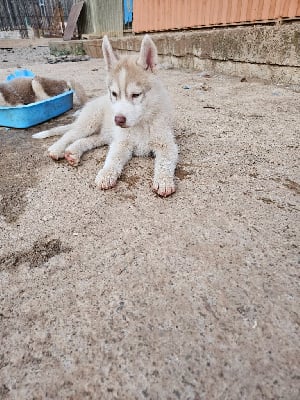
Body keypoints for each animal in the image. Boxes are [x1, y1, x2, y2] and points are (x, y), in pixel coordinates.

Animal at [32, 35, 178, 198]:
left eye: (136, 95)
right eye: (114, 93)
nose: (118, 120)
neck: (140, 124)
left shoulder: (166, 144)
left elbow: (165, 162)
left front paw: (164, 181)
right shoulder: (121, 143)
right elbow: (113, 159)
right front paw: (106, 174)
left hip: (105, 135)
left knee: (87, 140)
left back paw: (73, 153)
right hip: (90, 123)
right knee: (70, 134)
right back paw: (56, 149)